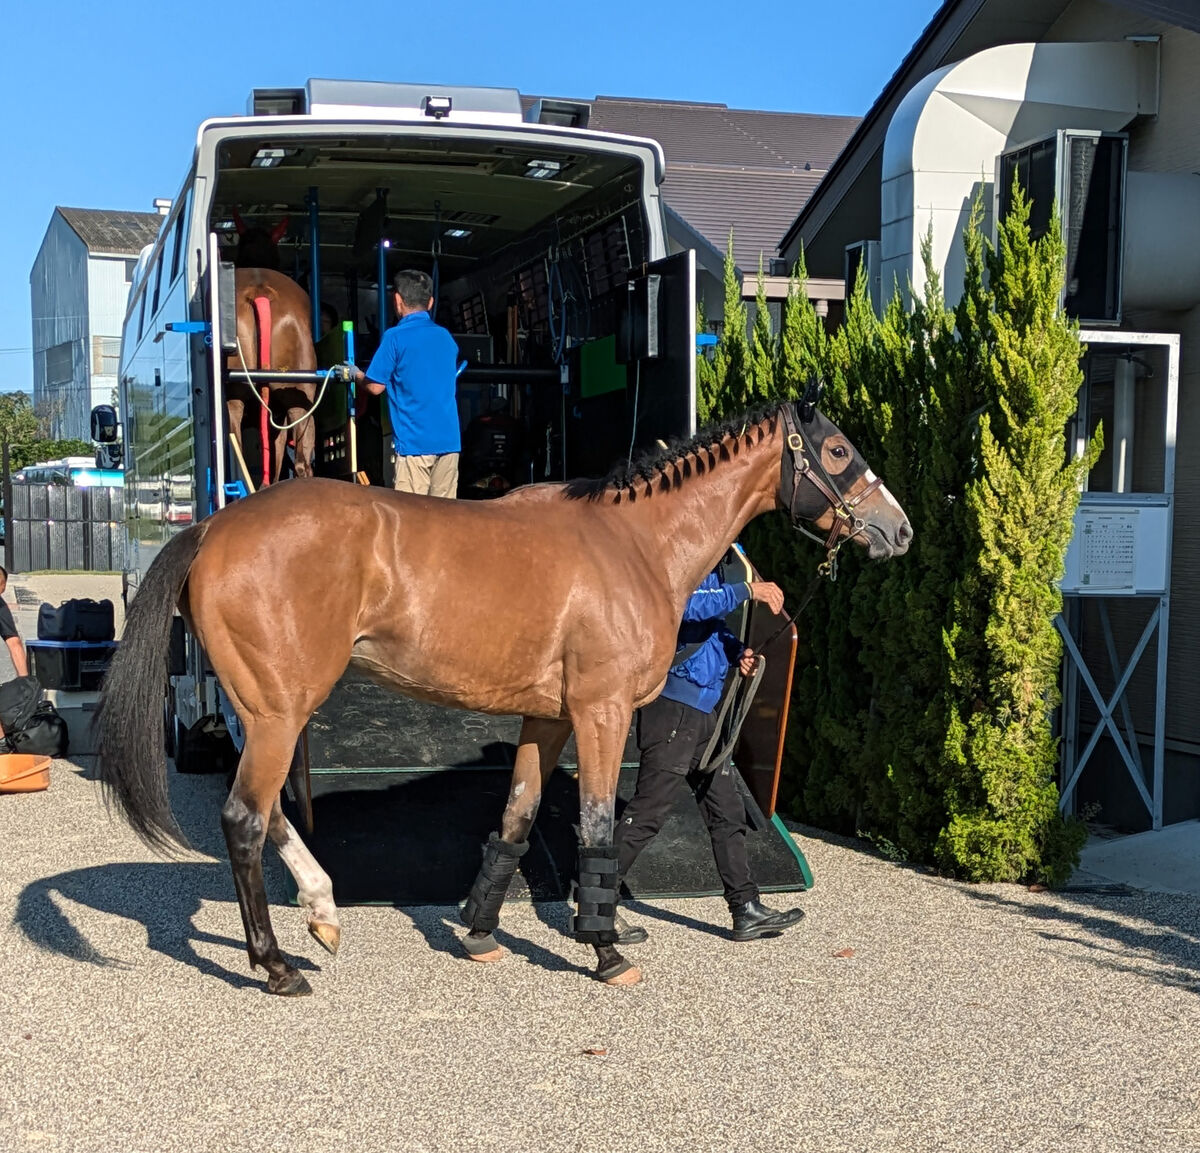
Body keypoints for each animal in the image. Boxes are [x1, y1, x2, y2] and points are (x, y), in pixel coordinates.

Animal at [98, 400, 912, 993]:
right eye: (838, 453)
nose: (898, 530)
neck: (634, 544)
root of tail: (213, 529)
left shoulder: (546, 719)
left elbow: (517, 818)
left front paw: (481, 932)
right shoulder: (601, 713)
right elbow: (598, 826)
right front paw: (606, 948)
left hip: (271, 713)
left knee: (268, 818)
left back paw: (324, 914)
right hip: (277, 714)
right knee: (245, 819)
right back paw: (275, 965)